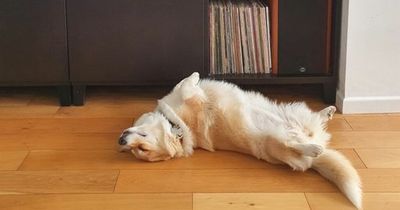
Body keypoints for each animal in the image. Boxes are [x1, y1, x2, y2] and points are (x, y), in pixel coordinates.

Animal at [119, 72, 362, 208]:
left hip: (295, 111)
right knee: (297, 147)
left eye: (141, 147)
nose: (122, 141)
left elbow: (182, 83)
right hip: (276, 142)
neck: (176, 125)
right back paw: (313, 148)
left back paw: (327, 112)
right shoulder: (190, 98)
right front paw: (195, 76)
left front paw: (194, 77)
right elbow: (187, 84)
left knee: (314, 122)